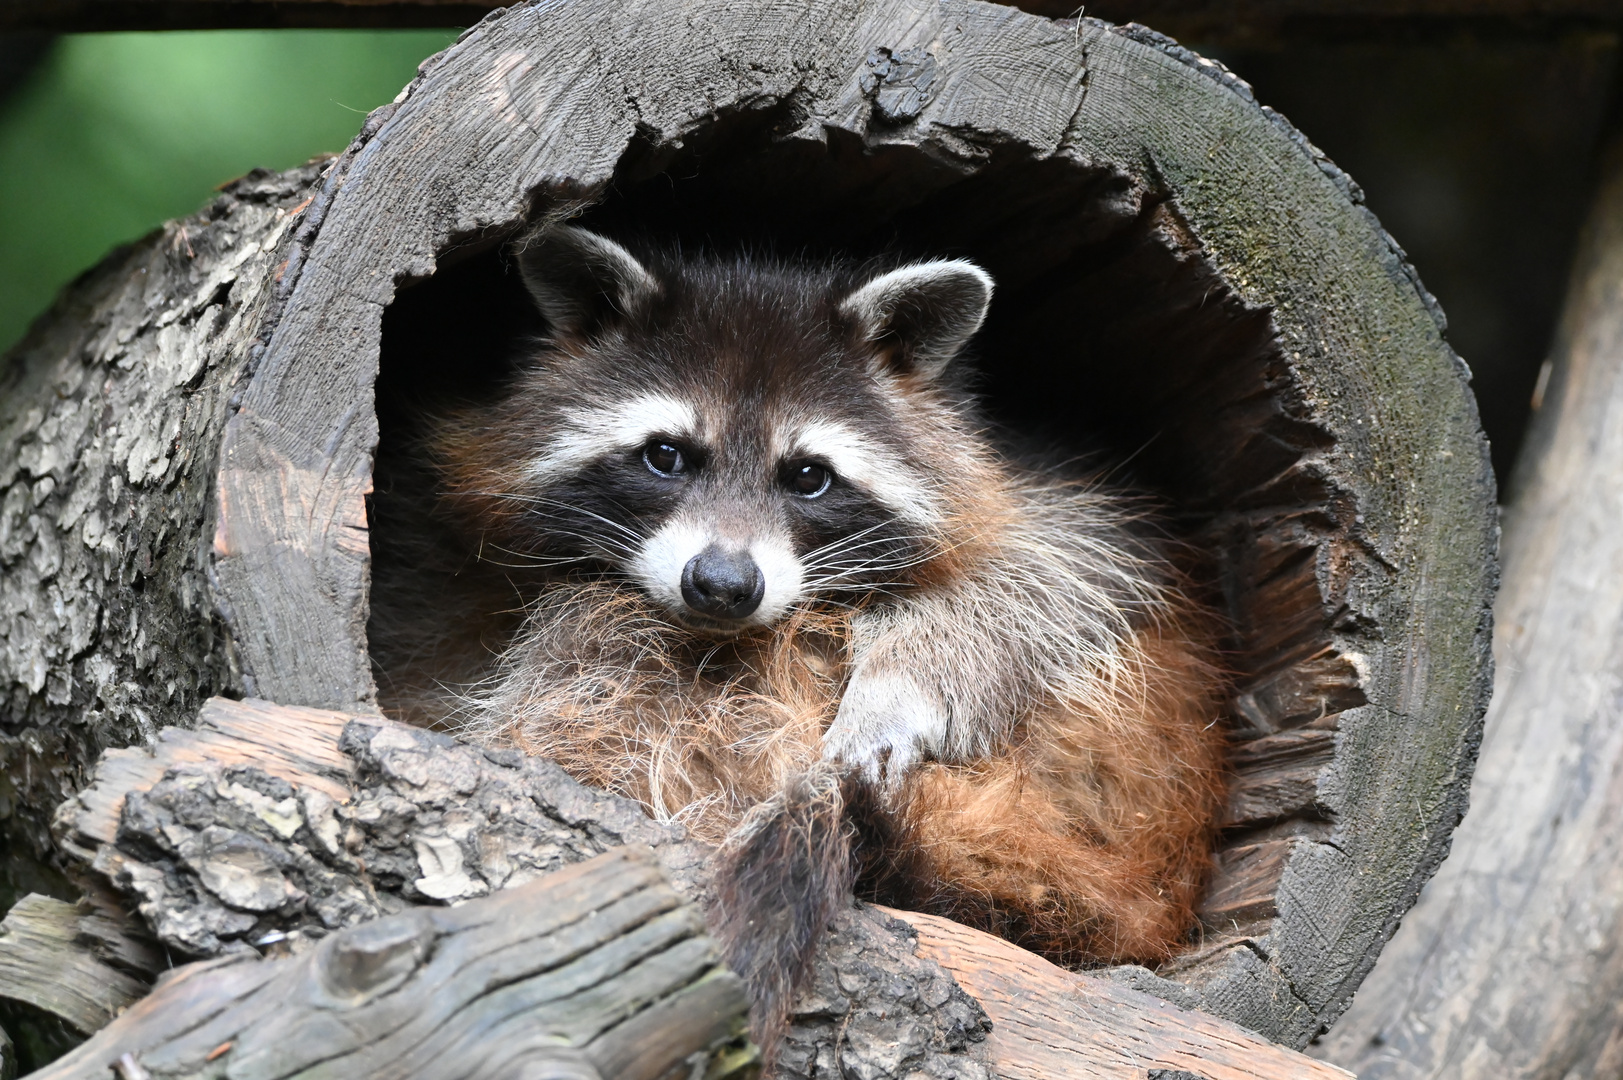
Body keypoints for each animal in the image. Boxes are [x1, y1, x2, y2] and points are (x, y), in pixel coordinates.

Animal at [368, 222, 1226, 1058]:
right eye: (665, 455)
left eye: (808, 476)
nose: (721, 584)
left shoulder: (1051, 489)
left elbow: (1049, 567)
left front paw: (898, 688)